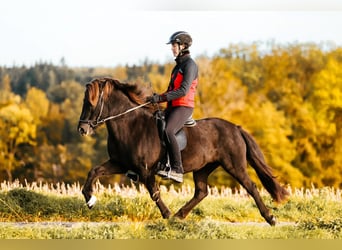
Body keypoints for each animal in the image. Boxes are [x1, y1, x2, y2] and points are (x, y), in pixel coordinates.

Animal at [77, 77, 288, 226]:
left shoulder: (145, 170)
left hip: (234, 165)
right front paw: (90, 200)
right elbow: (94, 171)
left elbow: (154, 192)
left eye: (91, 102)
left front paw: (166, 214)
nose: (82, 129)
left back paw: (270, 218)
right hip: (203, 168)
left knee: (250, 186)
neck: (130, 125)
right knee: (201, 192)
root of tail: (235, 128)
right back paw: (180, 215)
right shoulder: (120, 164)